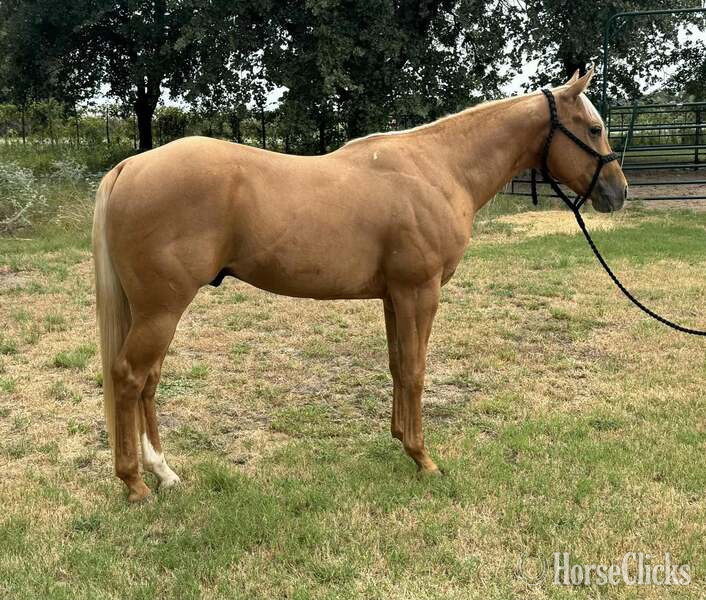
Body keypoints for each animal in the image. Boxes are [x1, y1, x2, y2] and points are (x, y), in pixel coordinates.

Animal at [93, 68, 628, 501]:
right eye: (595, 128)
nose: (618, 193)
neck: (438, 169)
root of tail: (129, 166)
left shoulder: (395, 296)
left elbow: (396, 367)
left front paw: (401, 442)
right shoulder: (419, 292)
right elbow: (415, 370)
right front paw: (423, 458)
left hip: (154, 312)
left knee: (148, 382)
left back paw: (164, 473)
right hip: (162, 310)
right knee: (129, 377)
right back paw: (135, 483)